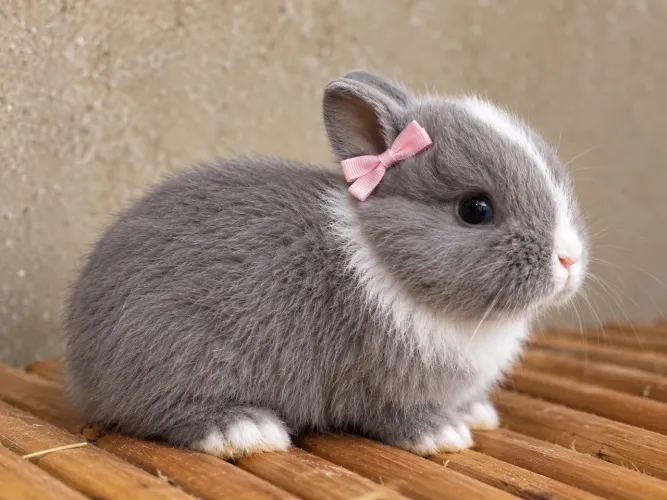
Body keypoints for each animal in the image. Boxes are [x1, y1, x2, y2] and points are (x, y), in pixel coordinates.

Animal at [65, 70, 587, 459]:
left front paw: (478, 413)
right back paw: (246, 429)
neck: (387, 261)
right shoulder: (386, 387)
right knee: (166, 413)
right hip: (181, 354)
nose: (568, 259)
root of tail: (82, 366)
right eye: (475, 209)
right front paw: (444, 435)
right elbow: (402, 418)